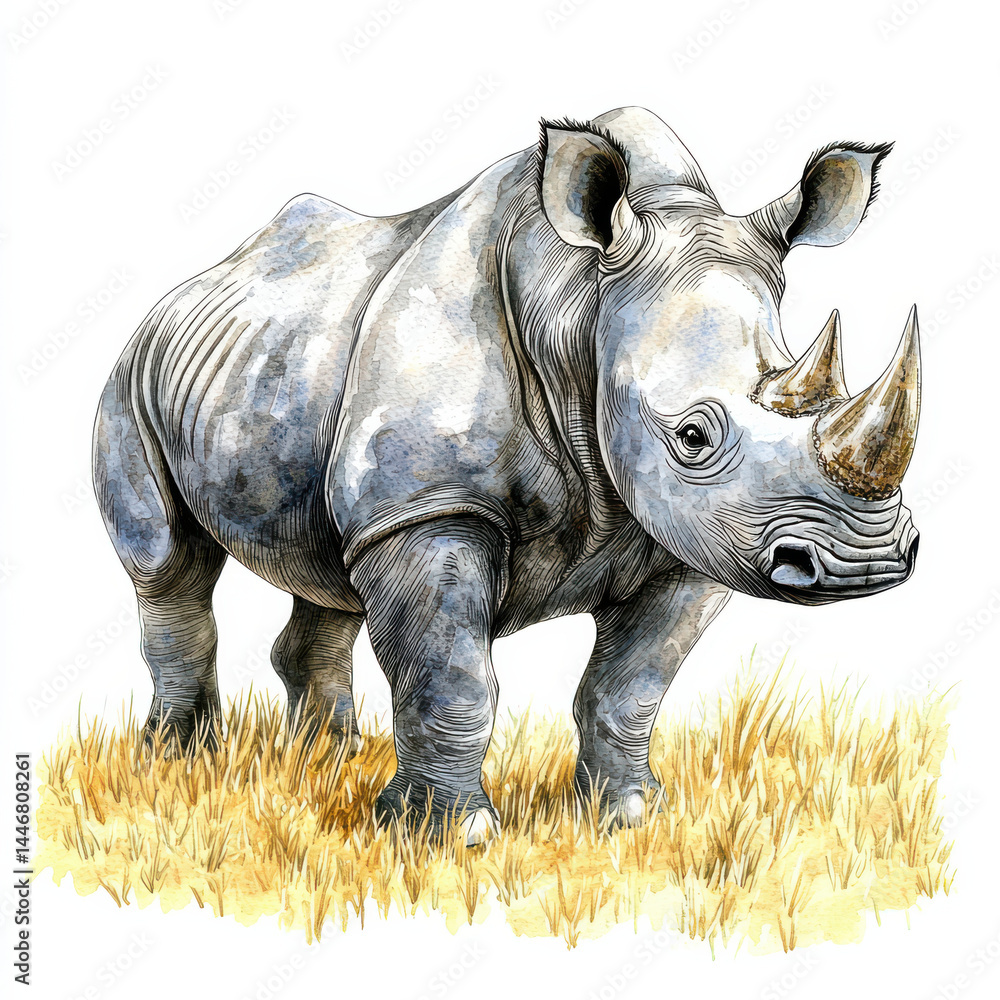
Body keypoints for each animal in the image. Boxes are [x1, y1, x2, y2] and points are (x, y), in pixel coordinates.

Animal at [93, 106, 920, 844]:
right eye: (692, 436)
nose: (865, 561)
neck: (583, 305)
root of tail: (198, 283)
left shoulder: (702, 530)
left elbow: (633, 684)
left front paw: (628, 816)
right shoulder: (432, 506)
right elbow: (453, 678)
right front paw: (448, 837)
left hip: (274, 367)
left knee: (328, 575)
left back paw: (329, 758)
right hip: (132, 376)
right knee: (169, 565)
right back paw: (179, 760)